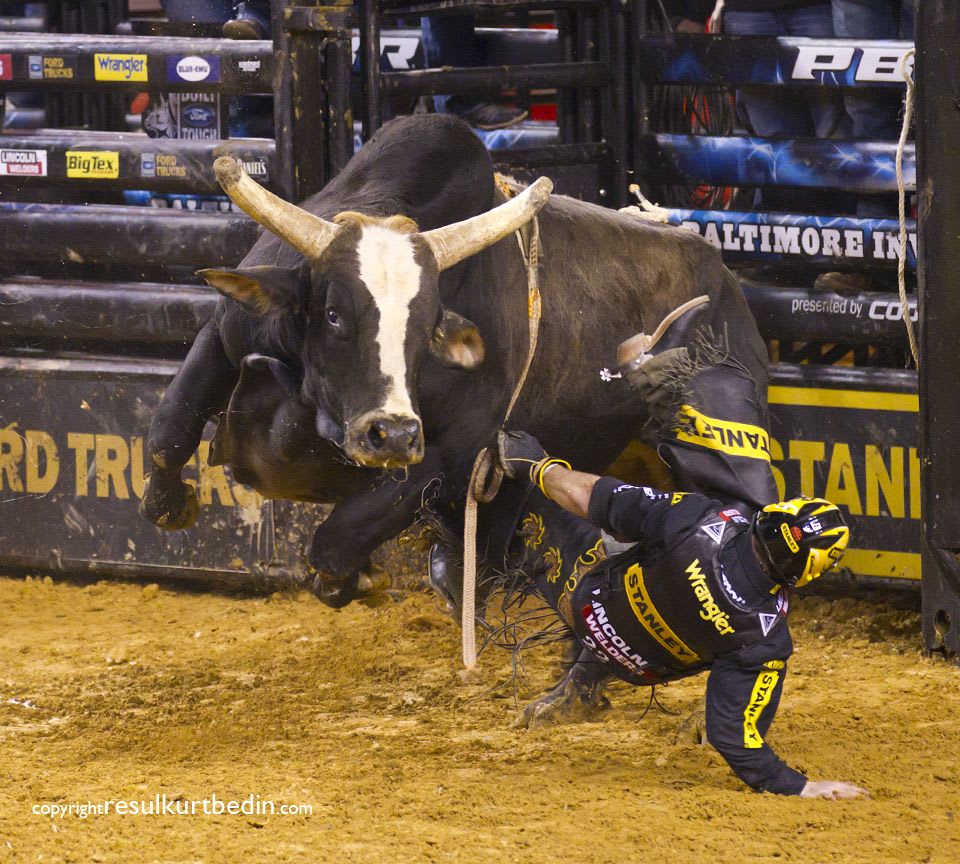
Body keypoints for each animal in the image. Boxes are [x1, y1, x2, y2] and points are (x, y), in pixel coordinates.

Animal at [139, 113, 776, 608]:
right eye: (335, 315)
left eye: (427, 329)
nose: (391, 434)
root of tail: (719, 272)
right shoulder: (227, 332)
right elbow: (169, 427)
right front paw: (169, 503)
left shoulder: (453, 448)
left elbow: (340, 536)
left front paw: (357, 579)